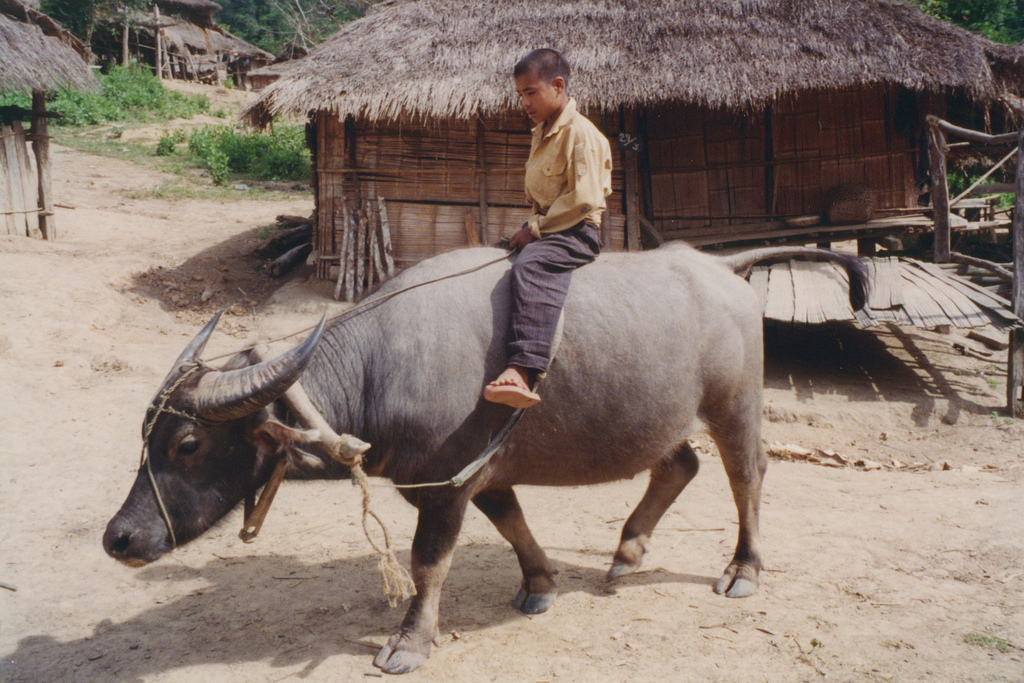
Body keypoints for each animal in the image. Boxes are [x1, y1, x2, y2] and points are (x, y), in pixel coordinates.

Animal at [103, 240, 864, 671]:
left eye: (189, 443)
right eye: (144, 436)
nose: (120, 538)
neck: (382, 365)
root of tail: (721, 266)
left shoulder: (445, 484)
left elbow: (426, 562)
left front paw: (409, 642)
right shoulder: (475, 473)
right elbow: (510, 522)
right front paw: (541, 583)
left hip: (735, 403)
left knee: (745, 473)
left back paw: (743, 569)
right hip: (659, 416)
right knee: (681, 465)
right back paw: (625, 553)